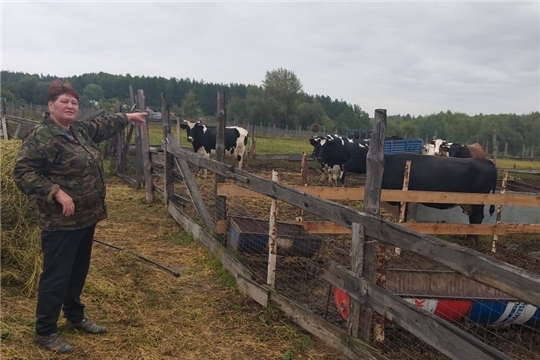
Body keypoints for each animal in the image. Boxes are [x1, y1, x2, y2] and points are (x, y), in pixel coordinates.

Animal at [344, 148, 496, 243]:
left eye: (355, 155)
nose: (344, 165)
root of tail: (488, 162)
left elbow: (402, 213)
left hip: (479, 201)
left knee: (478, 217)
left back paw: (472, 239)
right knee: (474, 218)